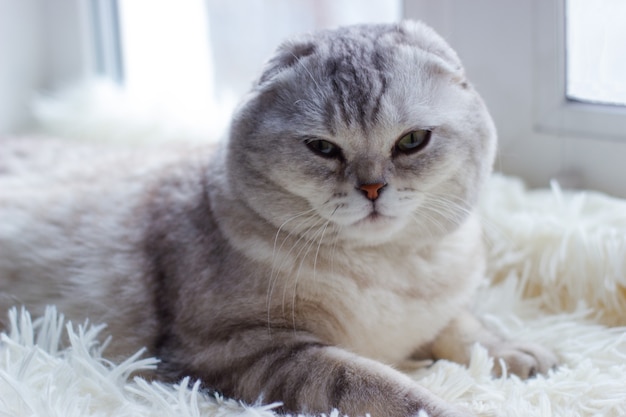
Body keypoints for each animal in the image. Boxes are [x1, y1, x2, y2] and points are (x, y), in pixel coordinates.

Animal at [0, 22, 556, 416]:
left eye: (412, 141)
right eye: (323, 148)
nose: (372, 188)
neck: (386, 267)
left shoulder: (437, 313)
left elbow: (469, 329)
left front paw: (521, 355)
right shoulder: (246, 352)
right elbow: (381, 385)